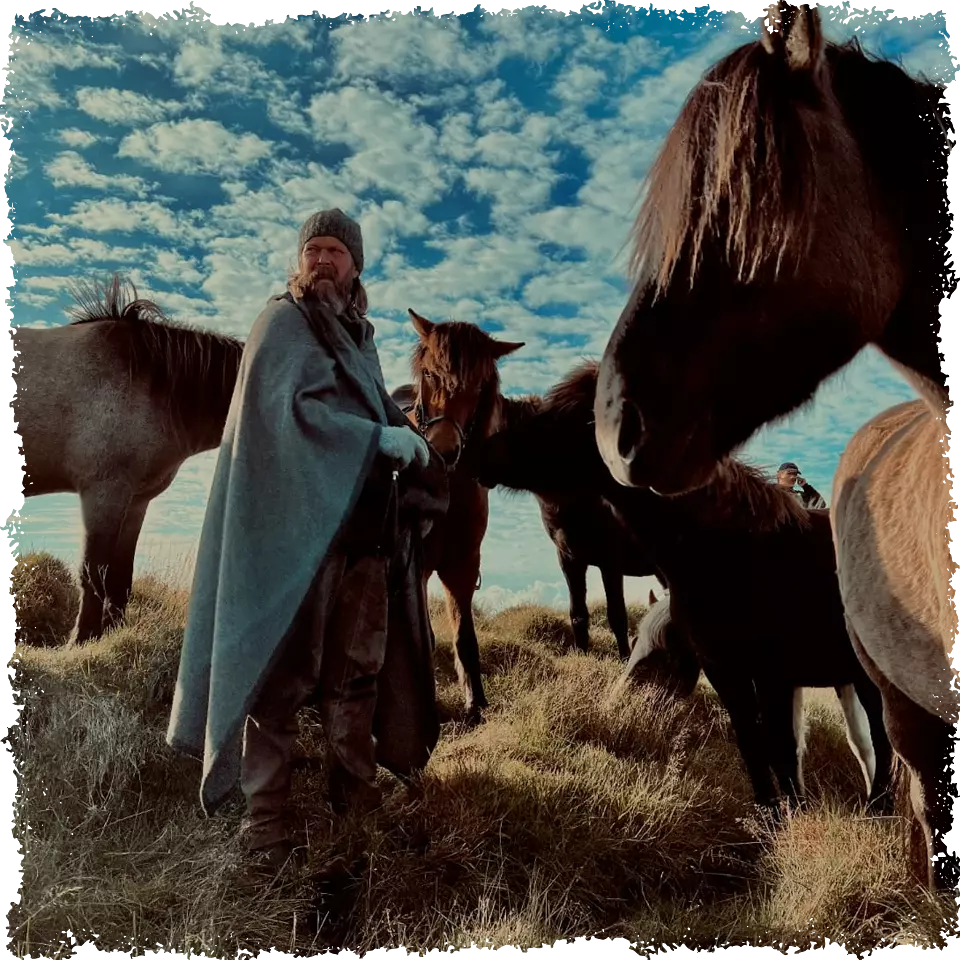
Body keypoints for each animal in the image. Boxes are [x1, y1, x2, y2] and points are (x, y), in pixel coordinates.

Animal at [10, 272, 244, 644]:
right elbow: (94, 571)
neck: (152, 383)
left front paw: (110, 635)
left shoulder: (135, 501)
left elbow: (121, 577)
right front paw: (82, 640)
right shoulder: (103, 494)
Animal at [392, 308, 524, 720]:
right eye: (430, 373)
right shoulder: (416, 565)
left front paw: (476, 704)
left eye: (480, 386)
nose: (443, 450)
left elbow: (465, 635)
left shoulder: (463, 565)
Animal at [470, 360, 892, 816]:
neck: (735, 553)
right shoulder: (726, 671)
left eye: (571, 419)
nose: (480, 454)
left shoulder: (774, 675)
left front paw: (793, 819)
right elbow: (754, 747)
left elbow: (782, 749)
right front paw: (770, 818)